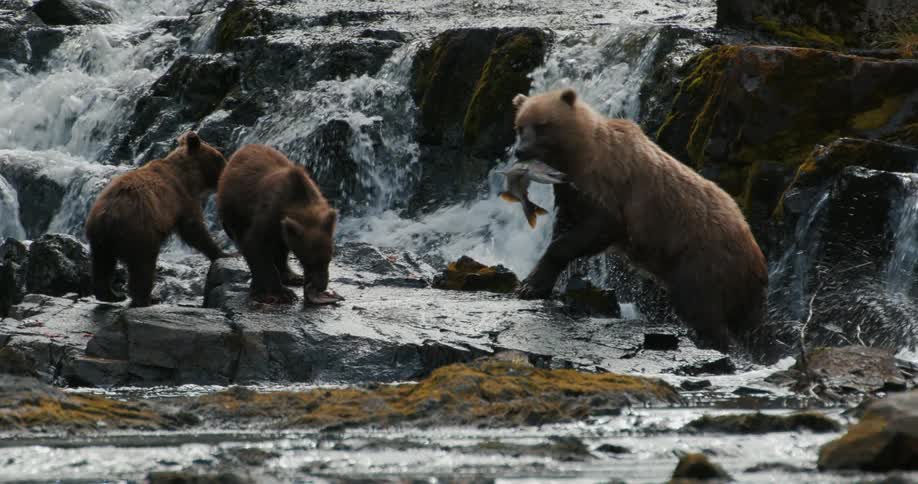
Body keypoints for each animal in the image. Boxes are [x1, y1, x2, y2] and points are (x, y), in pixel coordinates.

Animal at [85, 132, 229, 307]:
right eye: (220, 158)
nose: (228, 170)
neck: (190, 176)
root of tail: (109, 215)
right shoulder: (182, 199)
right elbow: (193, 229)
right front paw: (224, 253)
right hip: (140, 231)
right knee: (143, 266)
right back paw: (146, 298)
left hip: (100, 239)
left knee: (102, 265)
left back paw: (112, 294)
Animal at [217, 144, 337, 304]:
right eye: (307, 261)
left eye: (328, 259)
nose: (320, 286)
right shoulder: (268, 213)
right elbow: (255, 246)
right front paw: (281, 293)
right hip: (233, 212)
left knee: (280, 249)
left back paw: (293, 276)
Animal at [511, 88, 768, 352]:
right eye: (519, 126)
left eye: (542, 125)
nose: (519, 150)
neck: (577, 158)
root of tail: (756, 254)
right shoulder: (569, 194)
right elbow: (563, 228)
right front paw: (533, 284)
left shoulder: (608, 190)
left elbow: (593, 230)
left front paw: (530, 285)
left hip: (702, 260)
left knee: (699, 304)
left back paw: (709, 341)